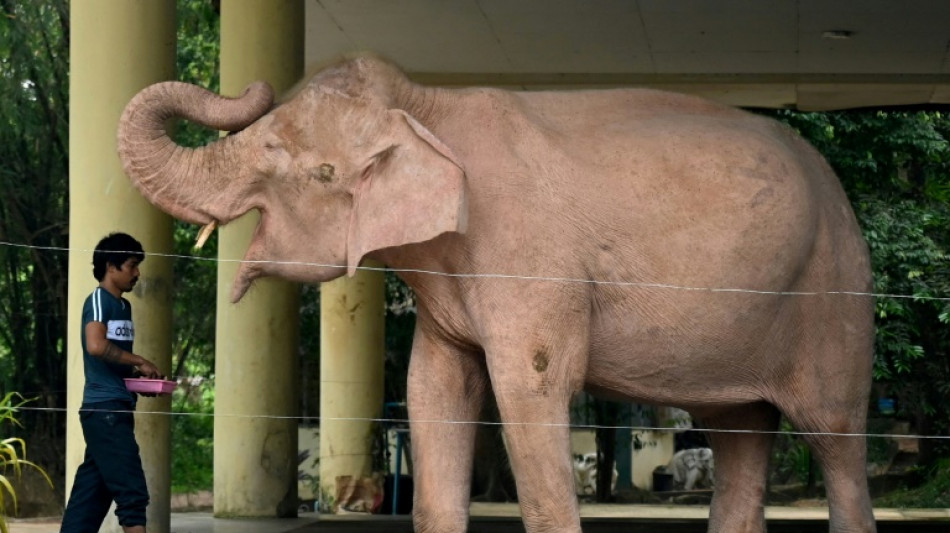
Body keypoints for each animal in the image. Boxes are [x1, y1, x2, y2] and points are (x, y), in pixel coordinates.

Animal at [117, 55, 876, 533]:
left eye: (311, 168)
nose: (253, 82)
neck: (429, 106)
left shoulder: (529, 262)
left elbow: (529, 388)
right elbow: (434, 390)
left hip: (834, 288)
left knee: (835, 438)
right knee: (740, 431)